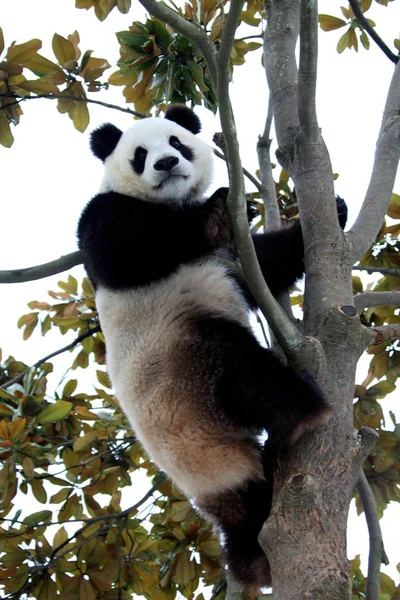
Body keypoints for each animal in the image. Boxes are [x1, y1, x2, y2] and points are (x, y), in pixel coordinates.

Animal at [78, 106, 346, 592]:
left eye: (177, 142)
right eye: (140, 155)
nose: (166, 164)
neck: (169, 203)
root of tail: (214, 483)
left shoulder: (234, 259)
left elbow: (266, 263)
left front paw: (335, 210)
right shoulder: (106, 217)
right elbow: (125, 247)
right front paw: (214, 214)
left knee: (248, 515)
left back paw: (252, 557)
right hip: (191, 367)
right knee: (246, 373)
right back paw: (301, 415)